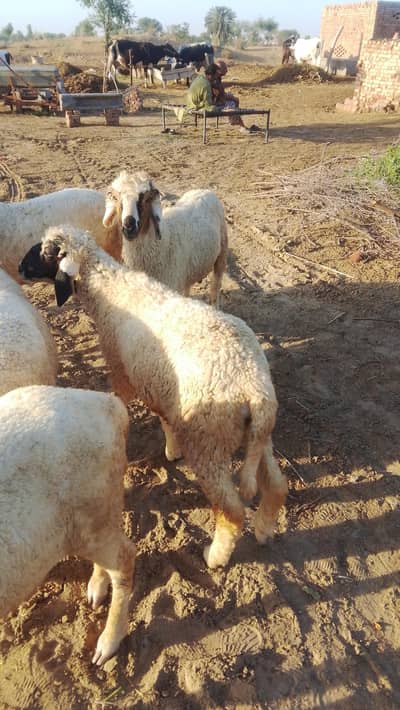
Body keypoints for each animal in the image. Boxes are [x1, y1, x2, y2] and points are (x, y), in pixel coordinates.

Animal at [0, 384, 135, 666]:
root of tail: (108, 405)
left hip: (95, 512)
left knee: (125, 558)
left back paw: (106, 646)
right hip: (93, 518)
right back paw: (95, 592)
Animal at [20, 226, 288, 570]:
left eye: (45, 252)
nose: (20, 268)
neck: (108, 288)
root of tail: (253, 387)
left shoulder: (121, 368)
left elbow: (123, 400)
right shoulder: (158, 382)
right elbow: (163, 416)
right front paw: (171, 449)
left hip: (208, 440)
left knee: (231, 511)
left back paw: (215, 556)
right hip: (258, 434)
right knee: (277, 485)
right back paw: (265, 529)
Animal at [102, 171, 228, 308]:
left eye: (146, 199)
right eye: (117, 199)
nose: (129, 226)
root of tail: (204, 190)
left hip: (222, 251)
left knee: (216, 285)